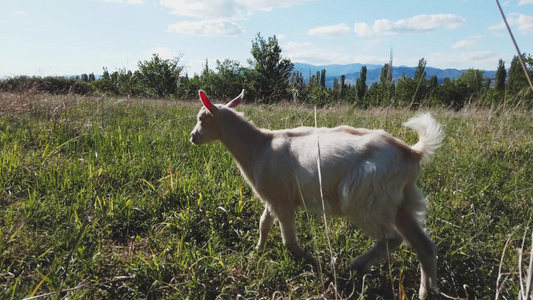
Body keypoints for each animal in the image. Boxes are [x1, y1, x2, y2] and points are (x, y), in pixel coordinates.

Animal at [189, 90, 442, 298]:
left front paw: (314, 263)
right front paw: (257, 253)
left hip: (365, 199)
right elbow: (264, 224)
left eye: (201, 118)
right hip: (399, 201)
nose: (192, 137)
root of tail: (413, 153)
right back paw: (426, 292)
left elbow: (288, 240)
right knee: (424, 246)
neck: (258, 147)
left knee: (392, 238)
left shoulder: (282, 201)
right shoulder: (274, 197)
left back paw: (357, 265)